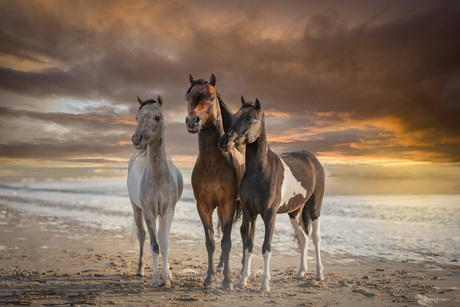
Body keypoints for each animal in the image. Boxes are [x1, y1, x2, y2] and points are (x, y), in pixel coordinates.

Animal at [127, 96, 183, 288]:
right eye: (137, 117)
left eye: (157, 117)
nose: (137, 138)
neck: (158, 178)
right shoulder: (149, 213)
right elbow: (153, 246)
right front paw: (155, 278)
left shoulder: (168, 212)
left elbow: (164, 244)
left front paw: (166, 279)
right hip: (136, 209)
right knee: (142, 235)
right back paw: (139, 270)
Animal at [185, 73, 246, 290]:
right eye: (187, 98)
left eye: (211, 98)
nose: (192, 121)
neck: (212, 166)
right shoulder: (204, 206)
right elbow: (210, 241)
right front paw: (209, 278)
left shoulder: (228, 205)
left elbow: (226, 242)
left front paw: (227, 282)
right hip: (219, 209)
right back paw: (219, 267)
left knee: (244, 233)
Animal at [220, 97, 326, 292]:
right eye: (235, 116)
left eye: (250, 120)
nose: (224, 141)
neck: (260, 171)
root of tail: (312, 159)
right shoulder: (250, 214)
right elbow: (249, 246)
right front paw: (243, 280)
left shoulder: (270, 215)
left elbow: (266, 248)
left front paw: (265, 284)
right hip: (294, 212)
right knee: (304, 237)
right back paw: (301, 272)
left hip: (315, 208)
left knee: (316, 238)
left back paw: (319, 274)